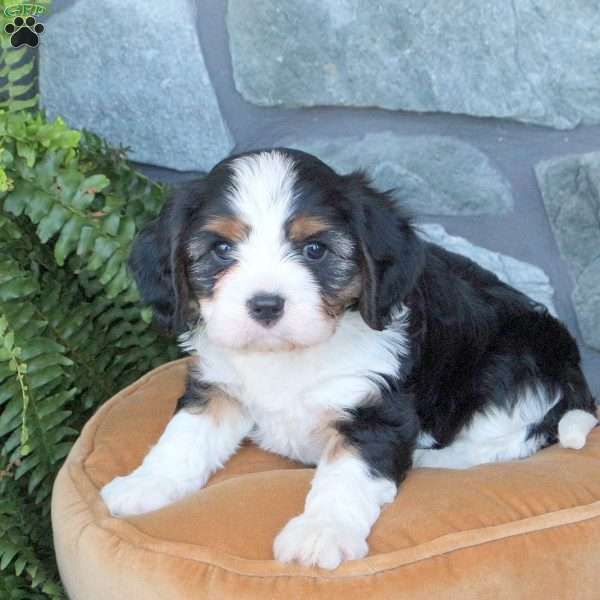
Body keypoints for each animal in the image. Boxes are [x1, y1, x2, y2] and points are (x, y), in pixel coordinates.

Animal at [101, 148, 596, 568]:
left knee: (510, 437)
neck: (290, 356)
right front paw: (145, 484)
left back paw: (435, 459)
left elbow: (347, 476)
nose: (265, 305)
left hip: (510, 364)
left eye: (315, 250)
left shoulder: (376, 410)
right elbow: (182, 439)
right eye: (221, 250)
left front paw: (321, 532)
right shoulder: (218, 386)